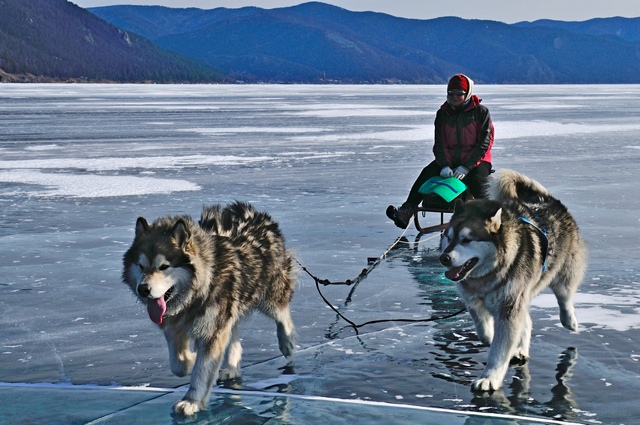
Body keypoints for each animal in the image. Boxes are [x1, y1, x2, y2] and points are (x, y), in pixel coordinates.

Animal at [121, 201, 296, 414]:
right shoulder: (175, 328)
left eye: (164, 266)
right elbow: (178, 365)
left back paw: (287, 343)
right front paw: (191, 358)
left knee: (282, 314)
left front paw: (191, 401)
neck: (195, 295)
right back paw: (232, 367)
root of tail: (252, 212)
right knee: (234, 335)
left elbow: (202, 371)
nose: (143, 289)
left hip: (268, 296)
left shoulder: (212, 330)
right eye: (140, 266)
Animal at [440, 168, 584, 390]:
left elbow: (499, 349)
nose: (444, 258)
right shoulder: (476, 301)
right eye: (448, 237)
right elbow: (484, 330)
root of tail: (548, 200)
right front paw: (493, 338)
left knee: (565, 296)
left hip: (564, 272)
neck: (490, 274)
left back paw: (570, 321)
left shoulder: (509, 305)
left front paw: (490, 377)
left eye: (466, 240)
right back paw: (520, 348)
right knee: (527, 320)